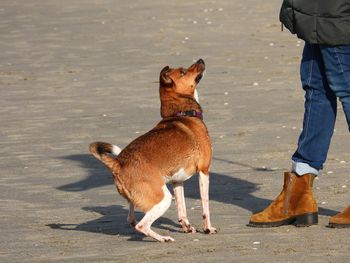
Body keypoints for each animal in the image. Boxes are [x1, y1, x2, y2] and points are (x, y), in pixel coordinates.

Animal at [89, 59, 216, 243]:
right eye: (183, 71)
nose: (200, 60)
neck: (182, 112)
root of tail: (118, 164)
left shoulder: (177, 181)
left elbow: (182, 209)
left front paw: (187, 227)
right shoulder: (204, 171)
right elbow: (205, 205)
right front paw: (208, 228)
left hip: (140, 200)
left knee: (131, 220)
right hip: (163, 199)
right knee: (142, 226)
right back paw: (163, 238)